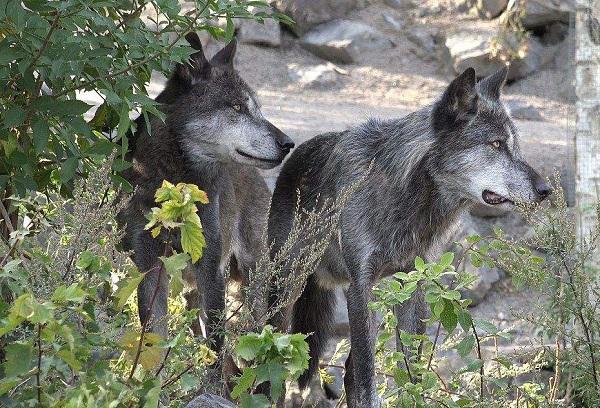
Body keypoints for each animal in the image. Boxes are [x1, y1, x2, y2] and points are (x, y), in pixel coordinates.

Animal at [119, 34, 292, 354]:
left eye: (257, 109)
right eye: (236, 107)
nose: (288, 143)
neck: (177, 188)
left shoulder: (210, 269)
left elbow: (215, 347)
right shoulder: (150, 269)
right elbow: (154, 342)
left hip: (253, 285)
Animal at [270, 66, 552, 404]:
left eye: (515, 145)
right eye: (496, 144)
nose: (546, 190)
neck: (408, 197)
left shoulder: (413, 285)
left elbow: (410, 369)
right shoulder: (359, 288)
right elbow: (368, 380)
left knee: (349, 371)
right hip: (285, 289)